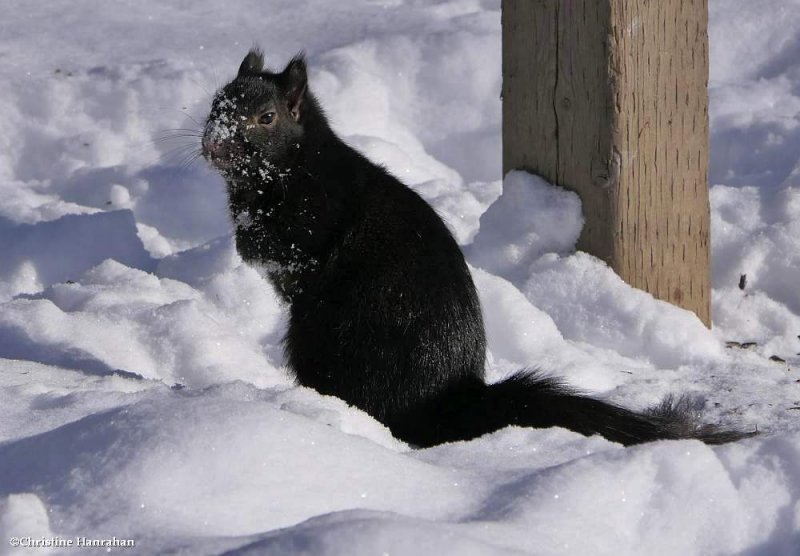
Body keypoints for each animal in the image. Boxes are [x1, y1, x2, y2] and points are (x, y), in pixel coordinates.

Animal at [200, 47, 752, 448]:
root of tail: (445, 402)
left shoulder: (314, 216)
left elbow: (284, 250)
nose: (213, 145)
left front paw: (248, 240)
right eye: (215, 104)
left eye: (266, 117)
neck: (290, 165)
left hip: (323, 335)